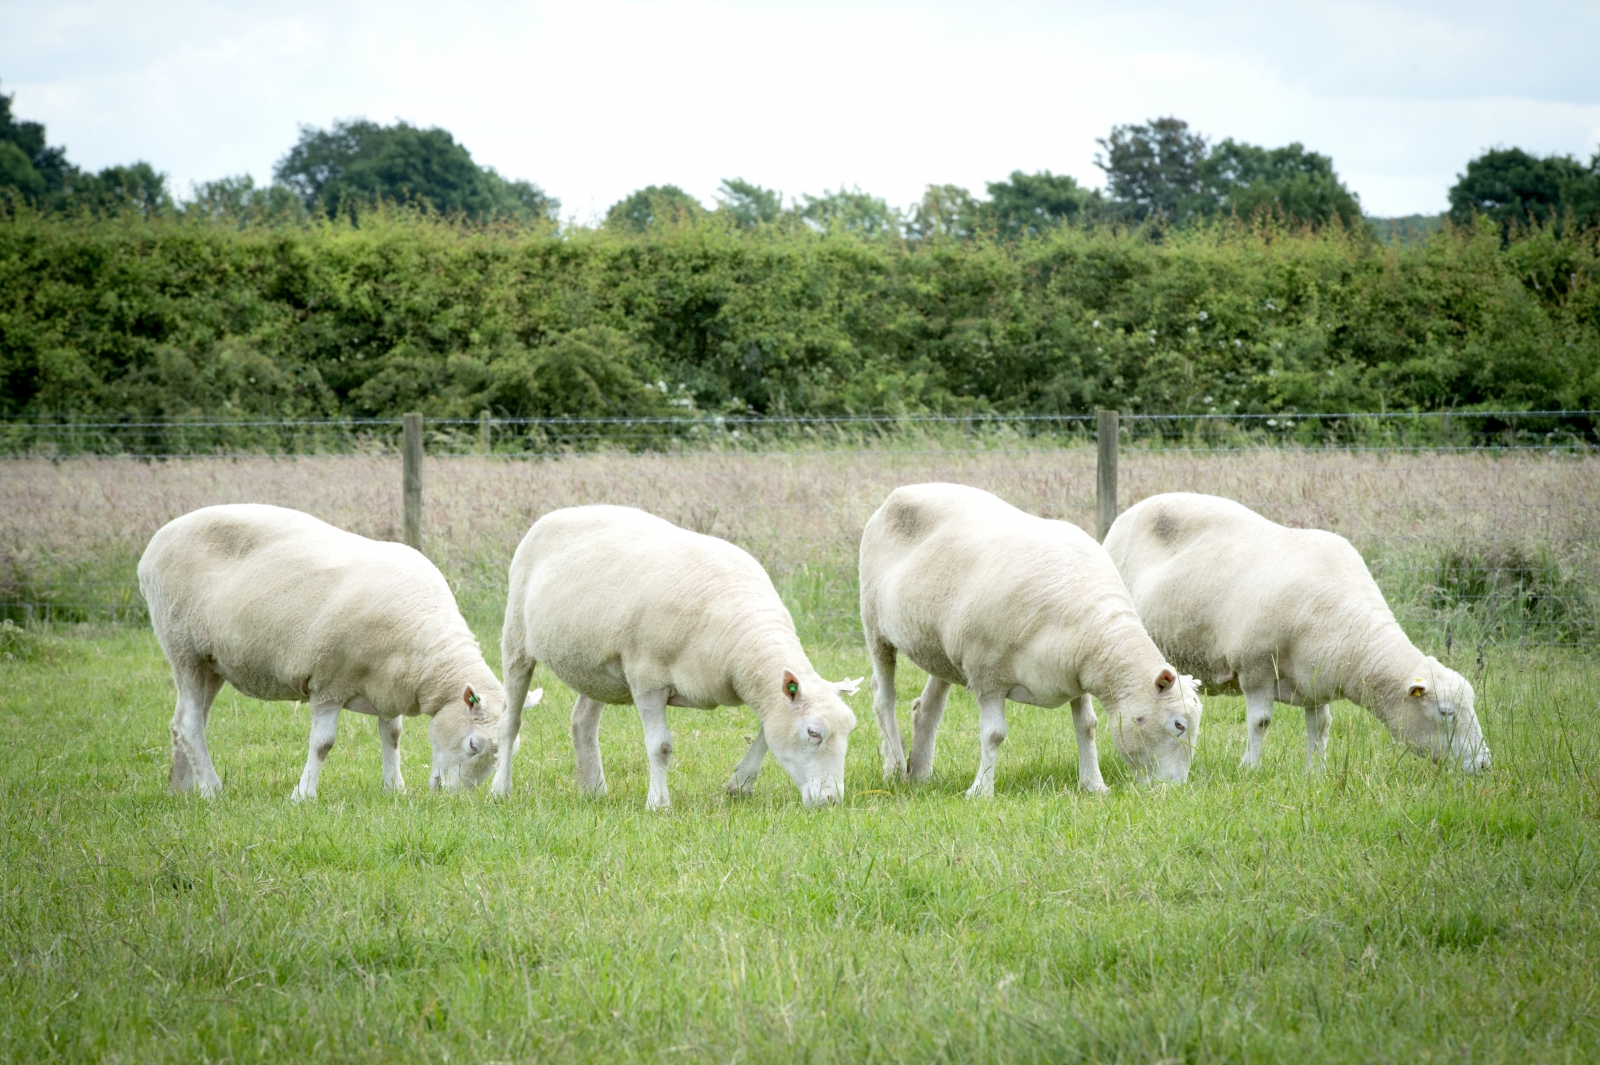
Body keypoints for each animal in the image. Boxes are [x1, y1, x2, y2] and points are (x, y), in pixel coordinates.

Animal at [138, 505, 515, 796]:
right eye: (473, 746)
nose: (455, 798)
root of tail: (156, 542)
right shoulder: (329, 682)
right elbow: (323, 744)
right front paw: (303, 795)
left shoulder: (388, 685)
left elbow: (392, 736)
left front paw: (394, 788)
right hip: (183, 648)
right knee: (189, 723)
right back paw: (212, 788)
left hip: (212, 662)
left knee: (185, 722)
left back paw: (182, 789)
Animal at [499, 505, 857, 805]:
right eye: (813, 733)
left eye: (850, 730)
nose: (831, 801)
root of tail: (562, 511)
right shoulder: (647, 679)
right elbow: (661, 746)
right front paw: (658, 804)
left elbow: (767, 735)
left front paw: (739, 785)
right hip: (515, 639)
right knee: (511, 721)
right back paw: (501, 790)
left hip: (595, 667)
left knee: (582, 723)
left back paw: (595, 790)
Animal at [864, 479, 1203, 786]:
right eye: (1179, 725)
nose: (1176, 788)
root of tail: (906, 489)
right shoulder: (986, 675)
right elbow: (994, 734)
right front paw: (981, 791)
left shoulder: (1075, 675)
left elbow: (1088, 725)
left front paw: (1094, 785)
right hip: (874, 624)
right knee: (883, 697)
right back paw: (895, 767)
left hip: (941, 650)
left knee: (928, 707)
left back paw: (920, 774)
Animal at [1100, 489, 1484, 770]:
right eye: (1447, 713)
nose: (1483, 765)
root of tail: (1135, 508)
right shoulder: (1255, 668)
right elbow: (1260, 722)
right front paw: (1249, 768)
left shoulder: (1317, 680)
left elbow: (1322, 726)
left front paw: (1317, 771)